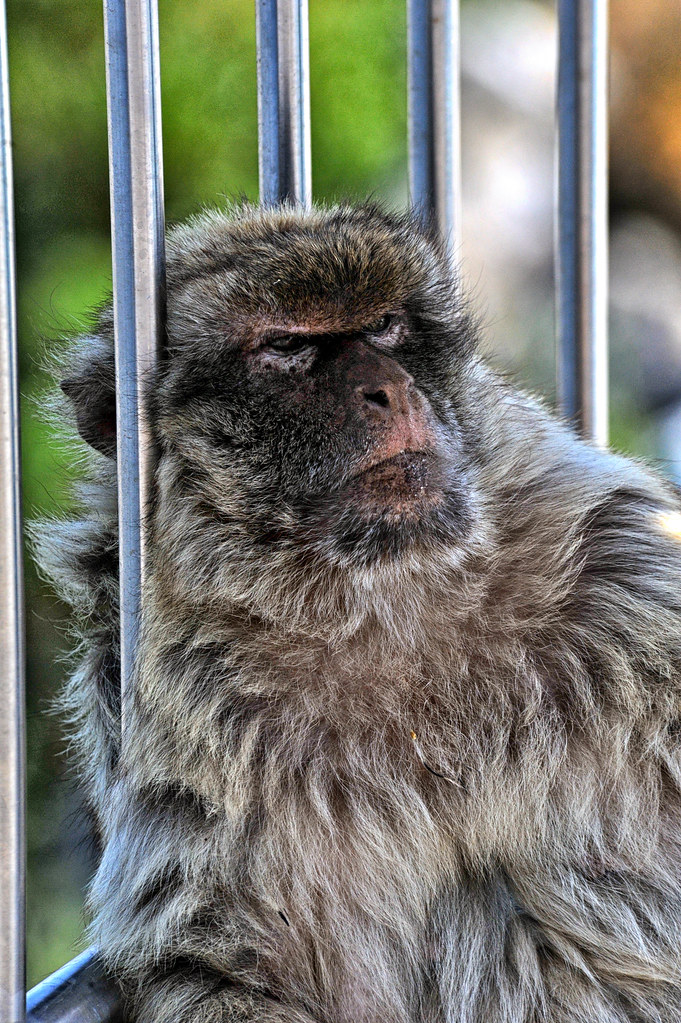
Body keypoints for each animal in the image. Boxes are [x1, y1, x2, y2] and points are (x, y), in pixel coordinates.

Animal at [36, 201, 681, 1023]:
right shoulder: (184, 726)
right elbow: (219, 965)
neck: (378, 602)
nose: (390, 389)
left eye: (383, 327)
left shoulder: (621, 570)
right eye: (285, 347)